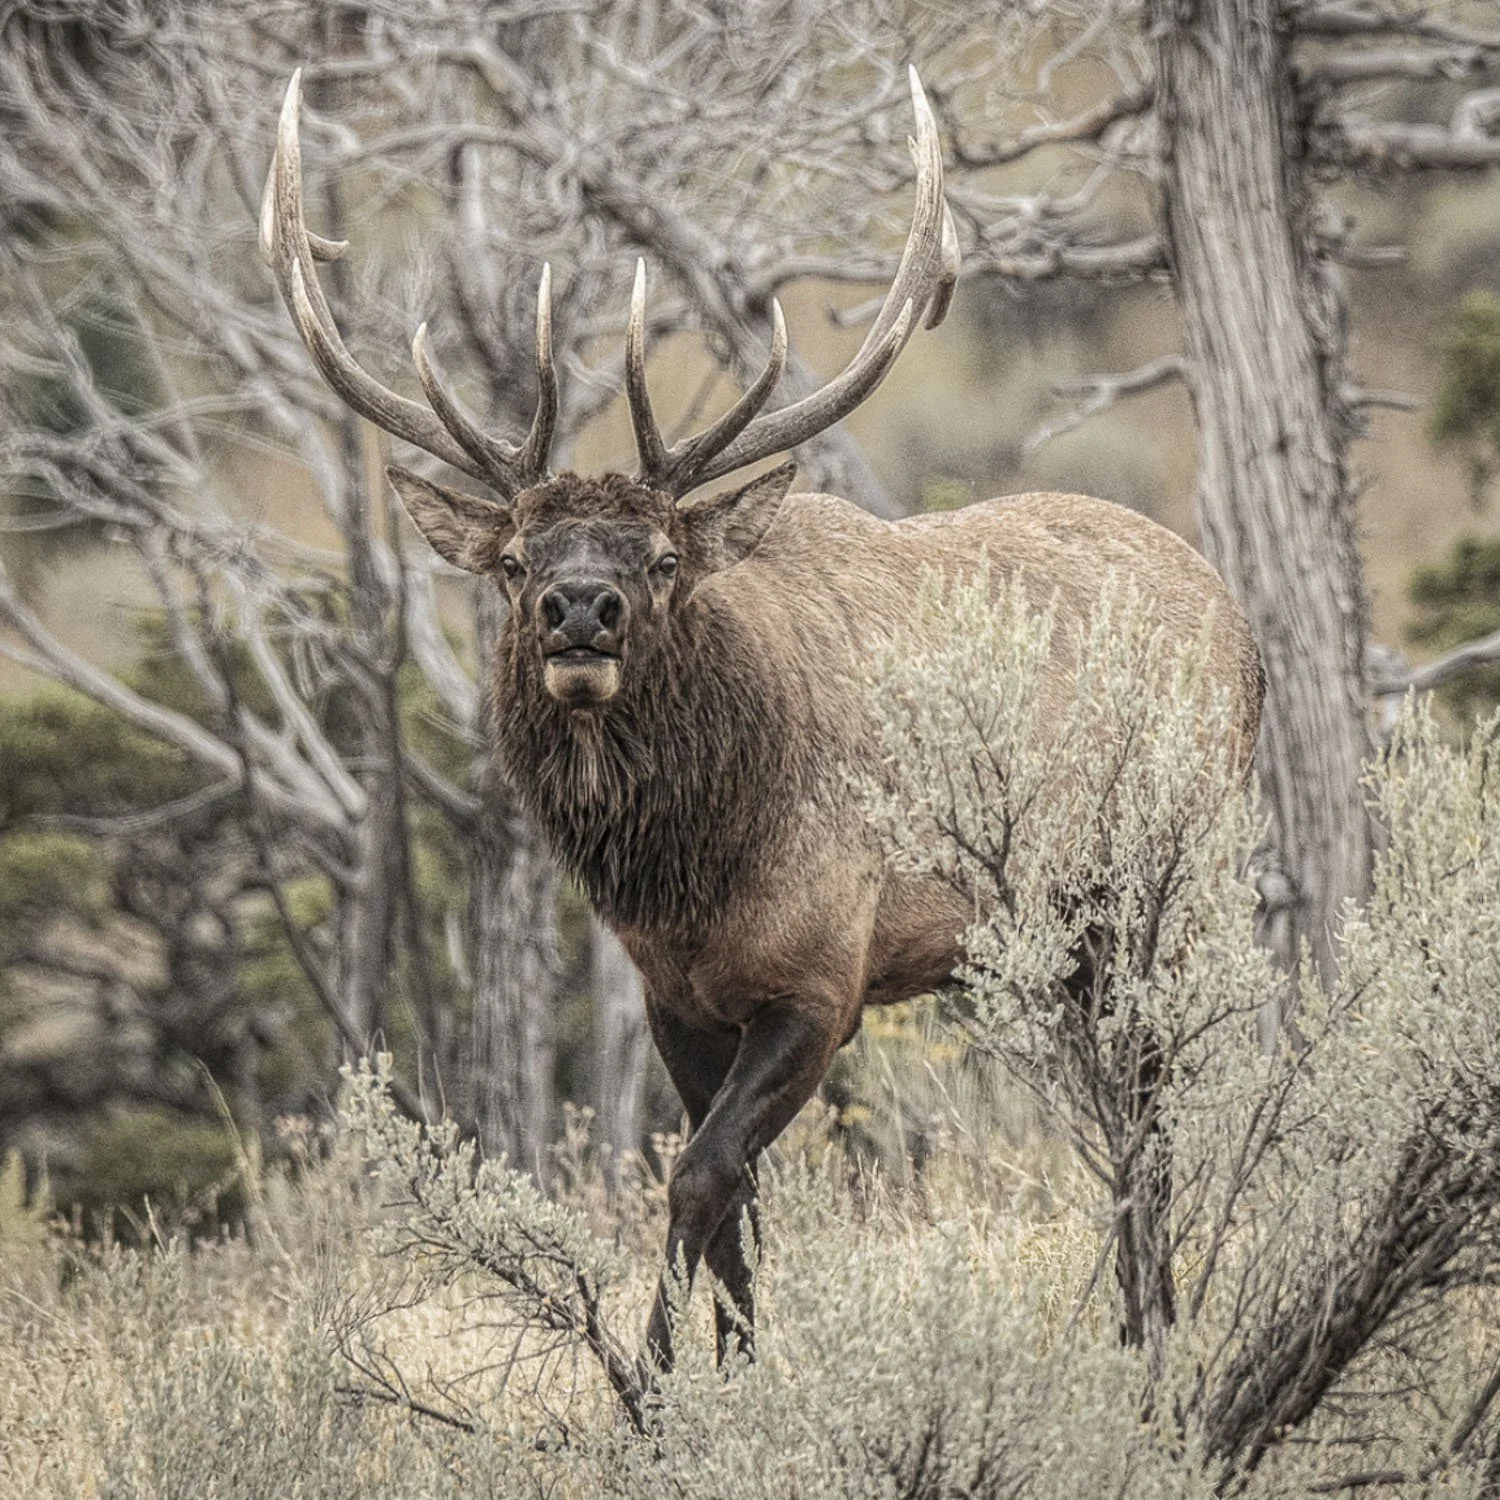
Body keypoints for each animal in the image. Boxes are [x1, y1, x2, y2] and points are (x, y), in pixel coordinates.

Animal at [262, 66, 1263, 1374]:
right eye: (516, 557)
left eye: (665, 556)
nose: (579, 609)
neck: (696, 870)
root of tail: (1239, 623)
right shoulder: (675, 998)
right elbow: (733, 1201)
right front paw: (730, 1373)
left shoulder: (826, 973)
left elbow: (698, 1176)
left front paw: (653, 1381)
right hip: (1061, 940)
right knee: (1117, 1103)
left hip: (1169, 880)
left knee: (1155, 1103)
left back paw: (1156, 1339)